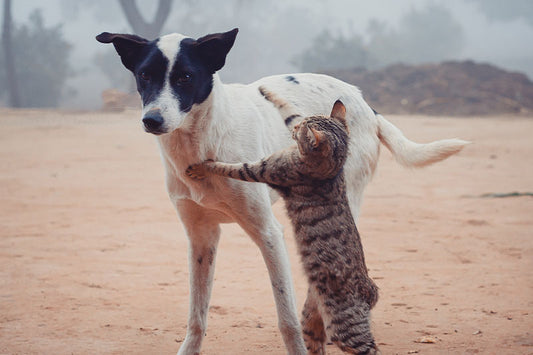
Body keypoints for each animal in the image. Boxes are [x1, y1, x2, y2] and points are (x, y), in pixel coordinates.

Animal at [186, 87, 378, 354]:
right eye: (301, 126)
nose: (296, 129)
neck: (332, 170)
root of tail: (370, 291)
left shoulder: (264, 169)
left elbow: (229, 167)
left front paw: (202, 167)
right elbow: (289, 110)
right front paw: (268, 93)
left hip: (345, 329)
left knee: (368, 347)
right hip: (312, 320)